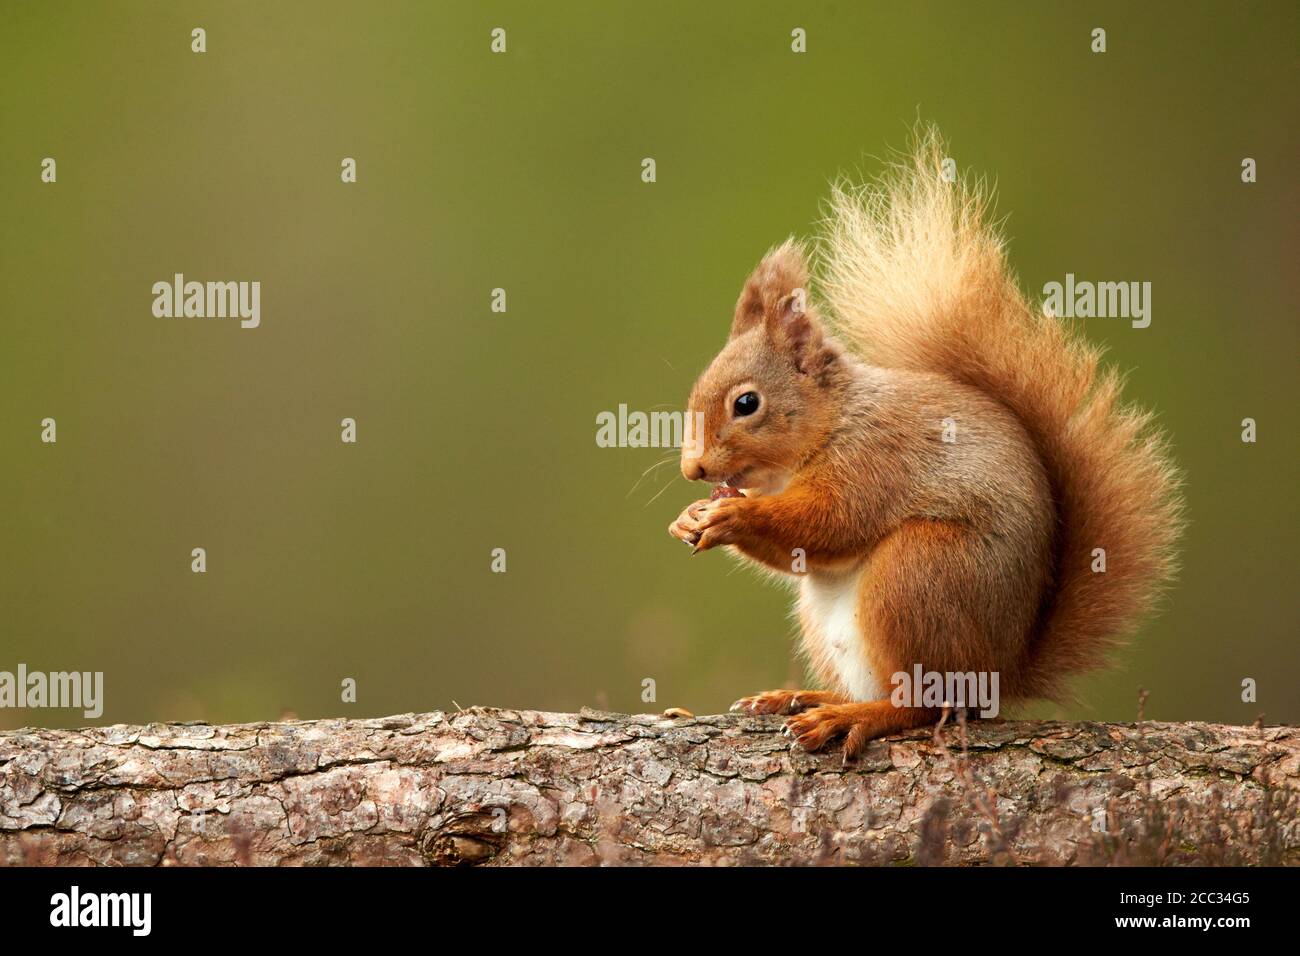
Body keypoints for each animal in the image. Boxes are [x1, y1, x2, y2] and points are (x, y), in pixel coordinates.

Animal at [670, 130, 1190, 759]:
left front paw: (733, 517)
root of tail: (996, 676)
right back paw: (803, 697)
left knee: (920, 704)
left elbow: (830, 520)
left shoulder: (875, 460)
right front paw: (689, 517)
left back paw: (850, 716)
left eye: (746, 403)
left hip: (919, 573)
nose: (693, 469)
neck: (834, 421)